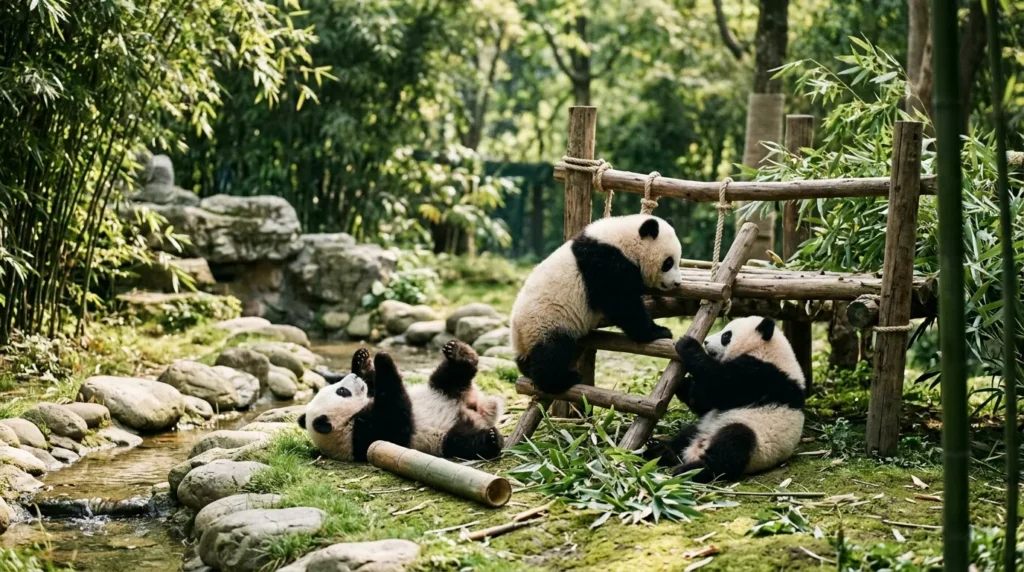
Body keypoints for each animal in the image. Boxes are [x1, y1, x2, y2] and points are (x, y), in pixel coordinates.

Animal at [297, 340, 504, 462]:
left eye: (338, 387)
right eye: (342, 391)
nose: (353, 377)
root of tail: (477, 408)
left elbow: (374, 387)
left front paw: (362, 361)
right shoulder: (366, 434)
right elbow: (396, 413)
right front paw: (383, 360)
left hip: (440, 388)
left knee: (451, 375)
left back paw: (458, 352)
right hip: (445, 437)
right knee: (465, 442)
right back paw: (492, 439)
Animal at [510, 214, 683, 394]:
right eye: (668, 263)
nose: (677, 283)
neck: (624, 242)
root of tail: (518, 335)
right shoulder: (605, 264)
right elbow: (623, 304)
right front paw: (659, 331)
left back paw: (528, 369)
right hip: (547, 321)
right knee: (552, 353)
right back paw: (563, 379)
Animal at [643, 316, 806, 483]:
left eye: (726, 336)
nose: (706, 341)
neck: (769, 351)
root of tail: (696, 450)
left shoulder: (762, 376)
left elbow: (720, 386)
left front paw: (687, 344)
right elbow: (704, 404)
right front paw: (683, 384)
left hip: (756, 443)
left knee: (731, 447)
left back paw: (691, 470)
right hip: (703, 427)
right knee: (685, 436)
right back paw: (659, 450)